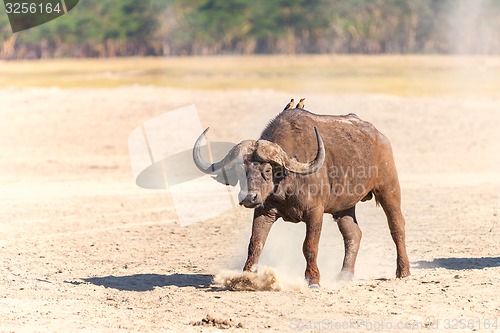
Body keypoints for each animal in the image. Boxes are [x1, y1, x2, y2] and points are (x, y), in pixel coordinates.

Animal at [192, 109, 410, 286]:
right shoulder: (263, 212)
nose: (249, 198)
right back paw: (344, 275)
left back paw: (403, 271)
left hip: (389, 189)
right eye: (239, 169)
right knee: (353, 234)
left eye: (268, 169)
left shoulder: (315, 213)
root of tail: (380, 137)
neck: (287, 181)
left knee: (397, 227)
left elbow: (309, 246)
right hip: (344, 208)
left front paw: (313, 279)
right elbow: (255, 243)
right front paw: (246, 277)